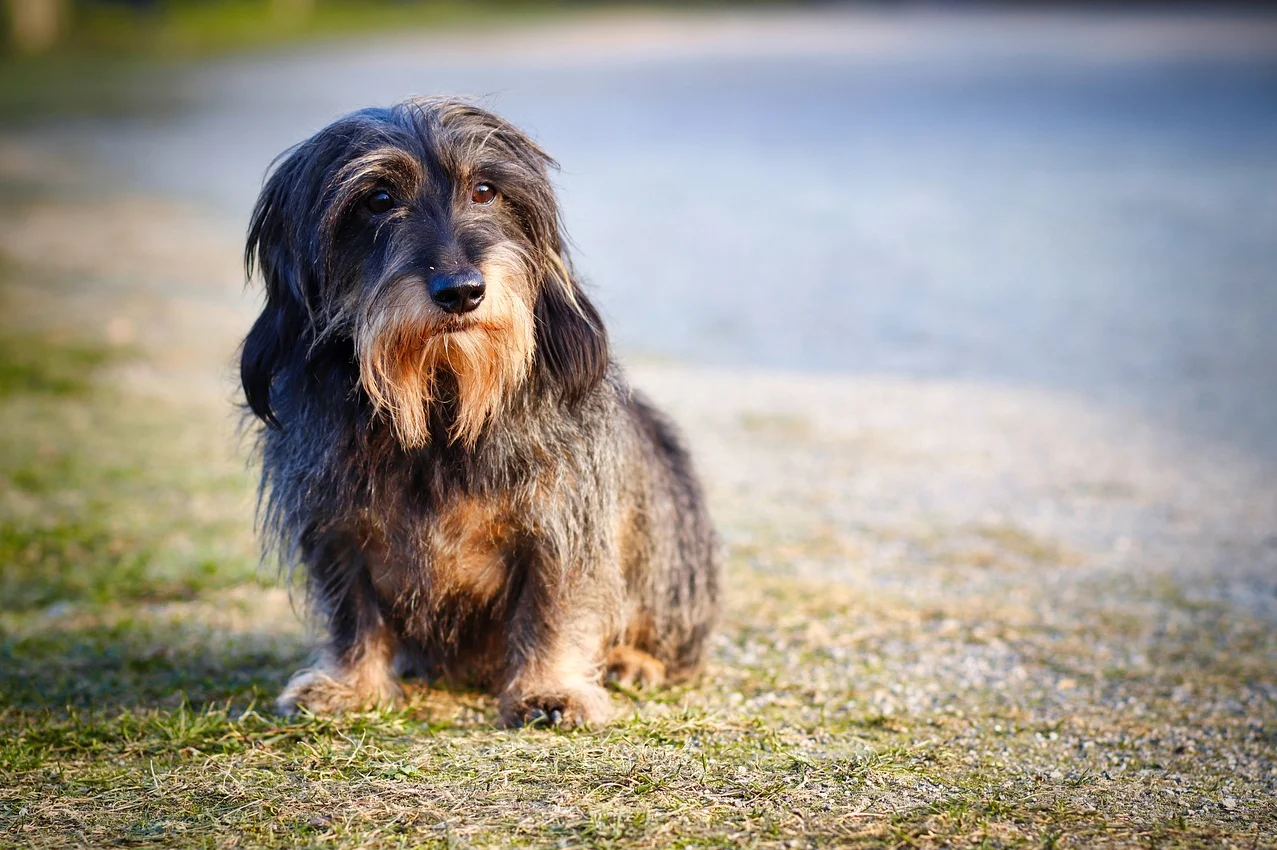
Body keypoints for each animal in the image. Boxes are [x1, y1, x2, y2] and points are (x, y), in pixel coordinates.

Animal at [240, 97, 720, 719]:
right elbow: (352, 611)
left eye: (485, 189)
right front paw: (350, 685)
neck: (443, 403)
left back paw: (635, 660)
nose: (462, 290)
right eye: (378, 199)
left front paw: (550, 688)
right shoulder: (336, 527)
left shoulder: (562, 521)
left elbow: (553, 605)